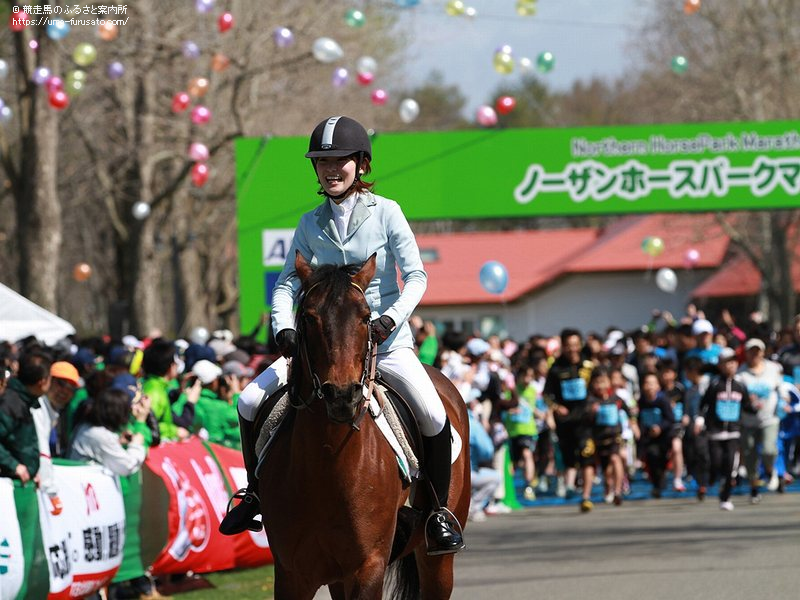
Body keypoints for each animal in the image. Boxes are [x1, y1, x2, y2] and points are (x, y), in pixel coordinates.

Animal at [258, 253, 468, 600]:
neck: (327, 460)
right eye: (309, 318)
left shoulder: (368, 568)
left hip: (438, 562)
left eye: (366, 317)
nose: (342, 394)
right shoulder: (292, 575)